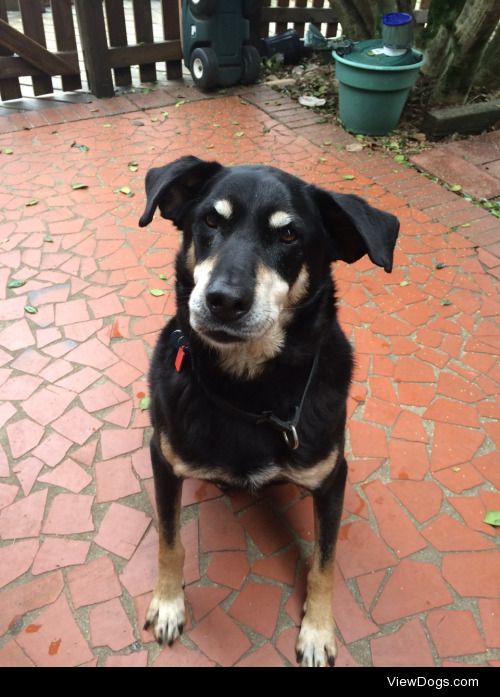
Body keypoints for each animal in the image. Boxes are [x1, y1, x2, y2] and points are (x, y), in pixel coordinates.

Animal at [137, 155, 398, 668]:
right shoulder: (165, 460)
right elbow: (169, 541)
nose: (223, 300)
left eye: (289, 235)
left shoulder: (332, 477)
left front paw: (317, 630)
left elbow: (323, 563)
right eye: (210, 221)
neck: (249, 395)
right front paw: (169, 603)